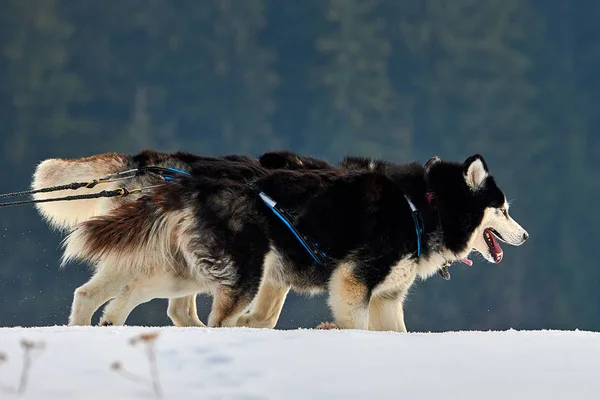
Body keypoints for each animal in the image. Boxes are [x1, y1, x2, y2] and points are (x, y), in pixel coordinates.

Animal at [59, 153, 528, 332]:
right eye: (504, 209)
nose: (526, 235)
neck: (422, 205)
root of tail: (194, 180)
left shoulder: (387, 297)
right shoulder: (353, 282)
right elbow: (351, 323)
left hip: (190, 270)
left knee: (120, 291)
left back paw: (103, 323)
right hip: (237, 274)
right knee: (207, 316)